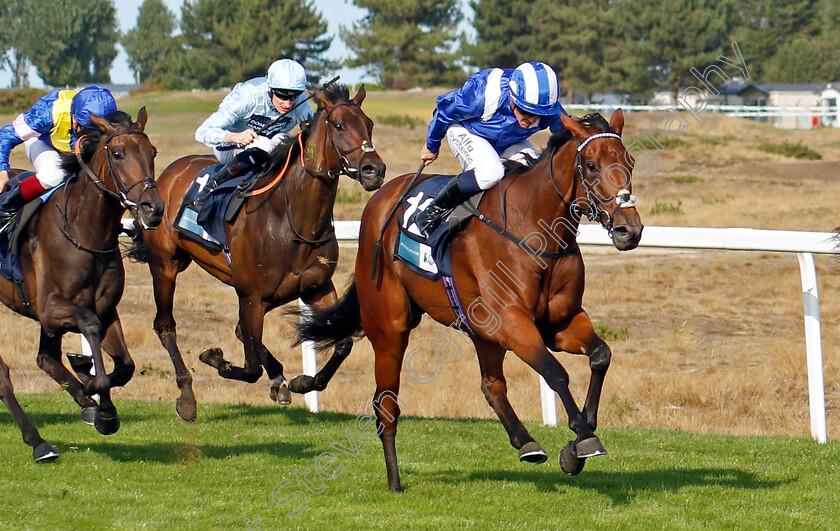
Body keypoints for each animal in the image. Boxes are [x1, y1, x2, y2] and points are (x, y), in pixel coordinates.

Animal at [0, 109, 165, 462]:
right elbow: (89, 327)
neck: (85, 232)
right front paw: (99, 400)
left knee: (45, 359)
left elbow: (125, 366)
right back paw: (39, 442)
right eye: (117, 153)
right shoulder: (51, 308)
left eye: (153, 152)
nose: (153, 208)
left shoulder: (105, 307)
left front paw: (98, 403)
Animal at [130, 84, 386, 424]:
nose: (375, 169)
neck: (291, 220)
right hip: (165, 265)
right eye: (339, 124)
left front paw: (303, 381)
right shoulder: (251, 296)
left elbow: (342, 342)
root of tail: (169, 174)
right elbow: (249, 368)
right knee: (165, 325)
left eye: (369, 123)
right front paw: (214, 356)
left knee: (243, 332)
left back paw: (279, 378)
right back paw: (187, 397)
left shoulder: (316, 287)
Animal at [298, 110, 648, 492]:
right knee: (385, 404)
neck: (535, 229)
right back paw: (394, 481)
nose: (629, 230)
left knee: (491, 385)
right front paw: (583, 440)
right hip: (390, 326)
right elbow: (555, 373)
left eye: (629, 163)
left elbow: (600, 356)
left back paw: (526, 442)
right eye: (591, 165)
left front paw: (574, 445)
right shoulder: (512, 323)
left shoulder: (559, 323)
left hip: (480, 330)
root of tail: (383, 197)